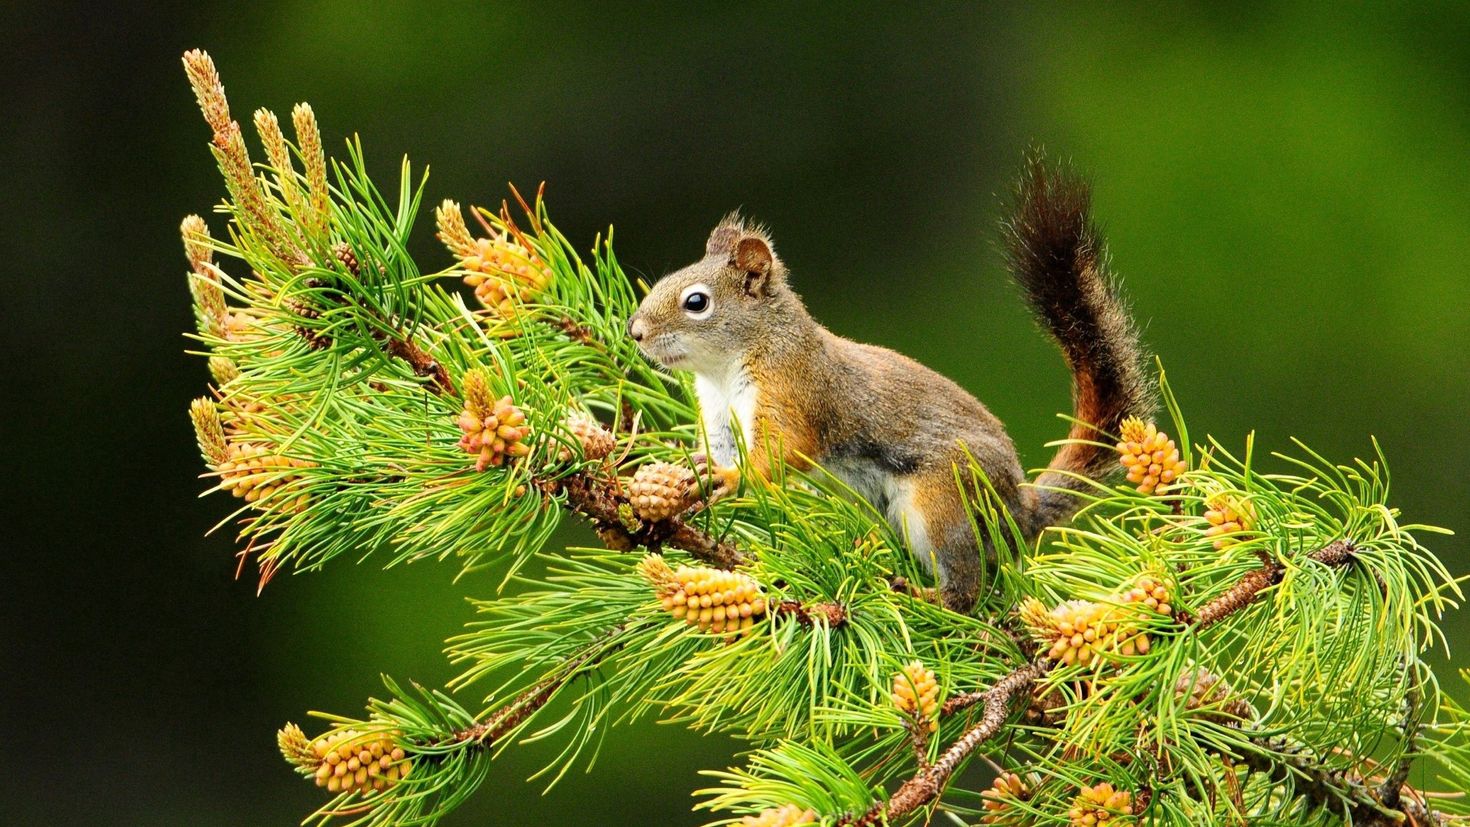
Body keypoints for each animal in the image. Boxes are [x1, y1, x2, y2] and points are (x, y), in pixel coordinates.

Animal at [626, 155, 1152, 611]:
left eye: (697, 302)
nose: (635, 331)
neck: (725, 369)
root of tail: (1019, 509)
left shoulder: (793, 391)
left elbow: (783, 450)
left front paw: (732, 477)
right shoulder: (719, 417)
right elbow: (718, 450)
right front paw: (694, 469)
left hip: (943, 501)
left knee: (967, 586)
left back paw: (926, 596)